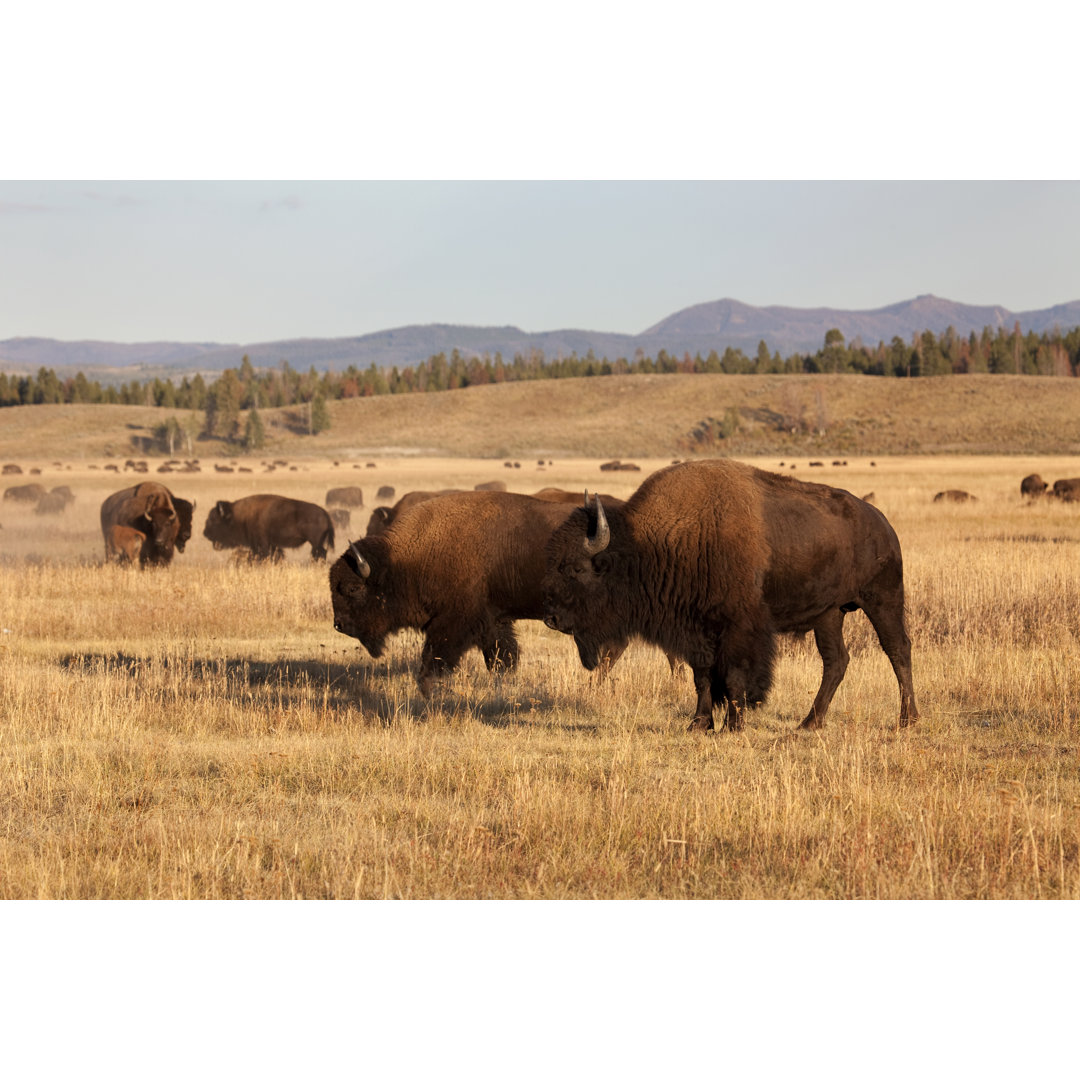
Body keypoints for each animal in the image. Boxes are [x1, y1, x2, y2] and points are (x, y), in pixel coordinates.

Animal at [203, 494, 332, 565]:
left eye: (213, 519)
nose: (205, 533)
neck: (239, 516)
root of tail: (325, 513)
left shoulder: (262, 544)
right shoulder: (271, 545)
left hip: (315, 543)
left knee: (318, 554)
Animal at [332, 490, 630, 691]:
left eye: (353, 588)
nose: (339, 625)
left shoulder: (455, 621)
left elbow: (437, 656)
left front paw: (430, 687)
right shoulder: (493, 619)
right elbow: (501, 656)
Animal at [544, 455, 915, 734]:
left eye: (577, 568)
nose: (552, 618)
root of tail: (882, 524)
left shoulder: (738, 629)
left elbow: (736, 676)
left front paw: (733, 725)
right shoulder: (698, 632)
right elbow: (703, 678)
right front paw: (698, 724)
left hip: (883, 600)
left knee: (898, 650)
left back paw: (907, 719)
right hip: (829, 614)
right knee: (836, 660)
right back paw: (810, 722)